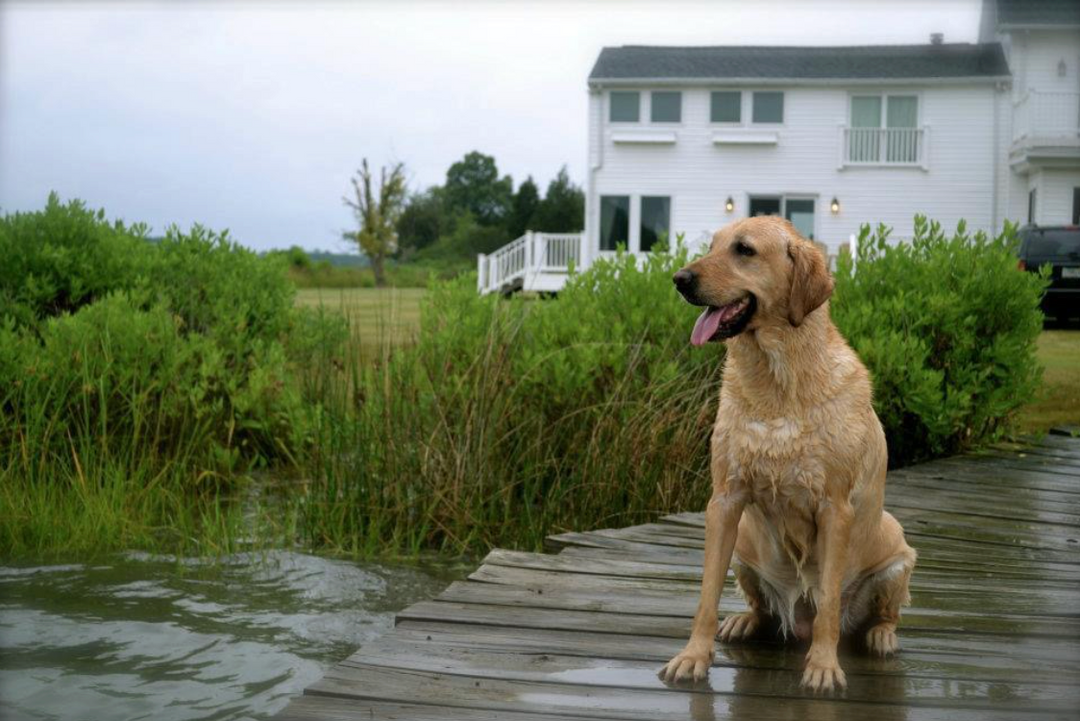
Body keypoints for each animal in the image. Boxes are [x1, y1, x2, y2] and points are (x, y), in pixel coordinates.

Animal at [660, 215, 915, 690]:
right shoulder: (724, 501)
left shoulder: (835, 509)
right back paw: (743, 621)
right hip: (745, 544)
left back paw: (881, 636)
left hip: (898, 552)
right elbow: (705, 595)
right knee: (763, 609)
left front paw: (823, 666)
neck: (776, 383)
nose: (679, 279)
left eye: (744, 250)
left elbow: (829, 602)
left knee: (882, 613)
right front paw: (693, 656)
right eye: (713, 246)